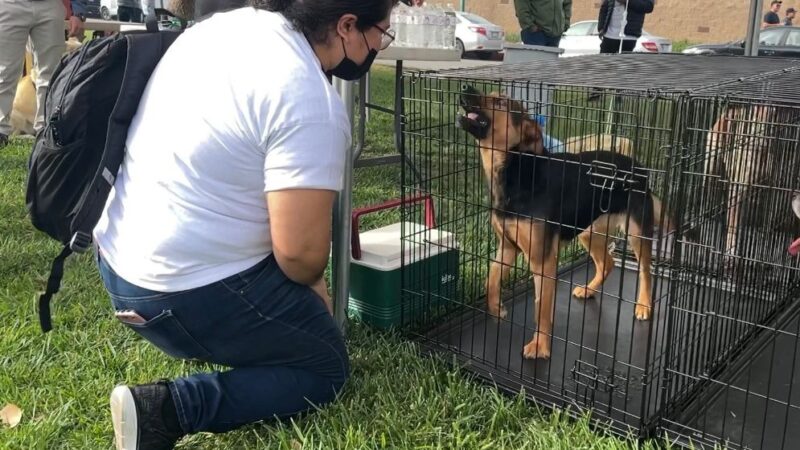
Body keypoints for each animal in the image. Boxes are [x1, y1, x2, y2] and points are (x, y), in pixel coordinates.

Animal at [456, 84, 676, 358]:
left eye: (501, 102)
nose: (465, 87)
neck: (515, 172)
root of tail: (639, 167)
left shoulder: (542, 260)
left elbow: (541, 307)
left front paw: (540, 346)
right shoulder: (507, 247)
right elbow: (491, 279)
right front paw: (497, 308)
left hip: (636, 231)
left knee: (646, 271)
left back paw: (644, 305)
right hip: (588, 232)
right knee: (608, 263)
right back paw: (589, 290)